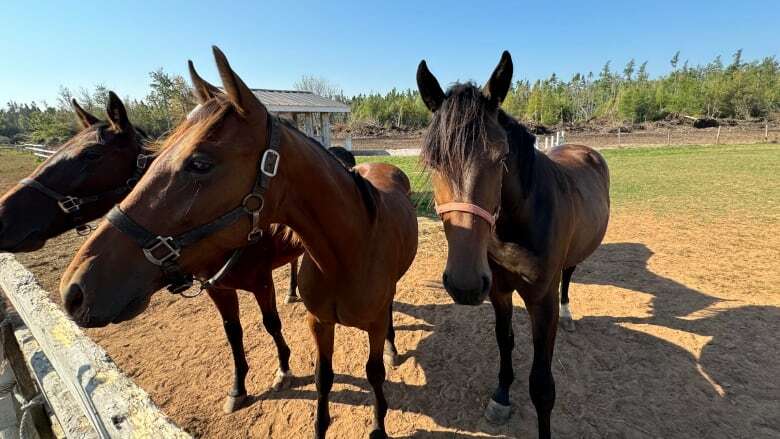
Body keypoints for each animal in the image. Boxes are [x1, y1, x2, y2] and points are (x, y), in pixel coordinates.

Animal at [0, 91, 354, 414]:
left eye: (90, 154)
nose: (74, 292)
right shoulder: (218, 289)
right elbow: (233, 334)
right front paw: (238, 389)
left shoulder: (261, 281)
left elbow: (271, 324)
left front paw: (283, 370)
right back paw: (293, 292)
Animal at [59, 46, 420, 438]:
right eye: (151, 158)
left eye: (200, 163)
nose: (75, 289)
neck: (346, 255)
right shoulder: (317, 322)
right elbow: (321, 376)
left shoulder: (360, 321)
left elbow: (374, 373)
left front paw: (377, 424)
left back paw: (392, 347)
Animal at [418, 50, 612, 436]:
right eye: (433, 162)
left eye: (500, 158)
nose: (464, 284)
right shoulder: (499, 291)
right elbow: (505, 341)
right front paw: (502, 396)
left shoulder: (541, 302)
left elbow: (542, 385)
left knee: (569, 275)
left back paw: (569, 313)